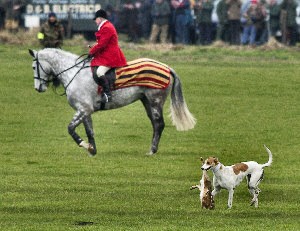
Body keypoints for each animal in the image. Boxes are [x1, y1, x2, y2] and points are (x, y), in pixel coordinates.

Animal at [28, 49, 197, 156]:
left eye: (34, 67)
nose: (38, 88)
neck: (74, 73)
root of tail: (167, 67)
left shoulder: (83, 109)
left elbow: (70, 128)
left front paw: (84, 145)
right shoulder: (85, 110)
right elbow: (90, 131)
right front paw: (92, 149)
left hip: (155, 101)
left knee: (159, 124)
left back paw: (152, 151)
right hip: (147, 102)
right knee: (156, 125)